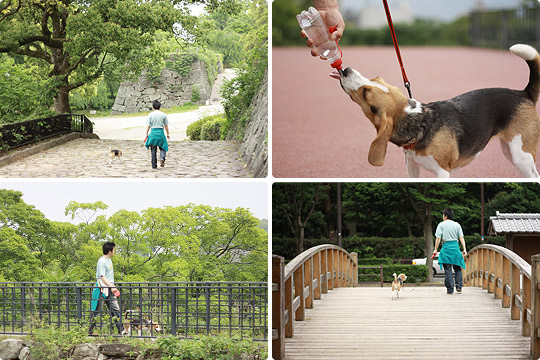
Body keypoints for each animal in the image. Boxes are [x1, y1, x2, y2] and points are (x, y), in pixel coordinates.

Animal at [334, 44, 540, 179]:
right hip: (510, 151)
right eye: (374, 79)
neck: (419, 122)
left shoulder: (443, 172)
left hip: (521, 156)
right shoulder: (412, 167)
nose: (346, 70)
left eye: (365, 92)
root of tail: (523, 93)